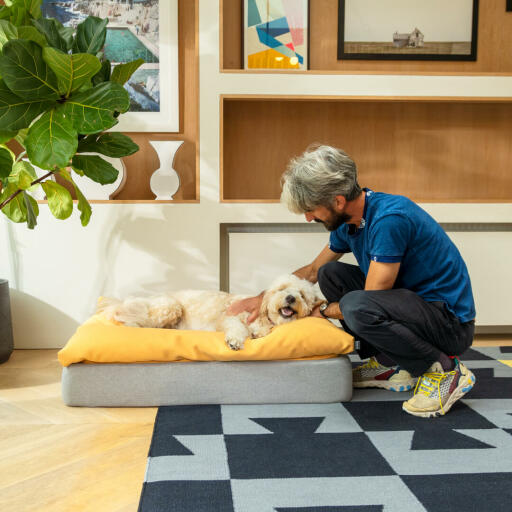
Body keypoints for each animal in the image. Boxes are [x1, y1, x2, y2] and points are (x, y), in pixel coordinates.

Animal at [96, 274, 324, 350]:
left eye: (302, 295)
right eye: (282, 289)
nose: (291, 298)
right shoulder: (230, 318)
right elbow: (238, 329)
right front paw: (235, 341)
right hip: (169, 307)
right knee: (136, 322)